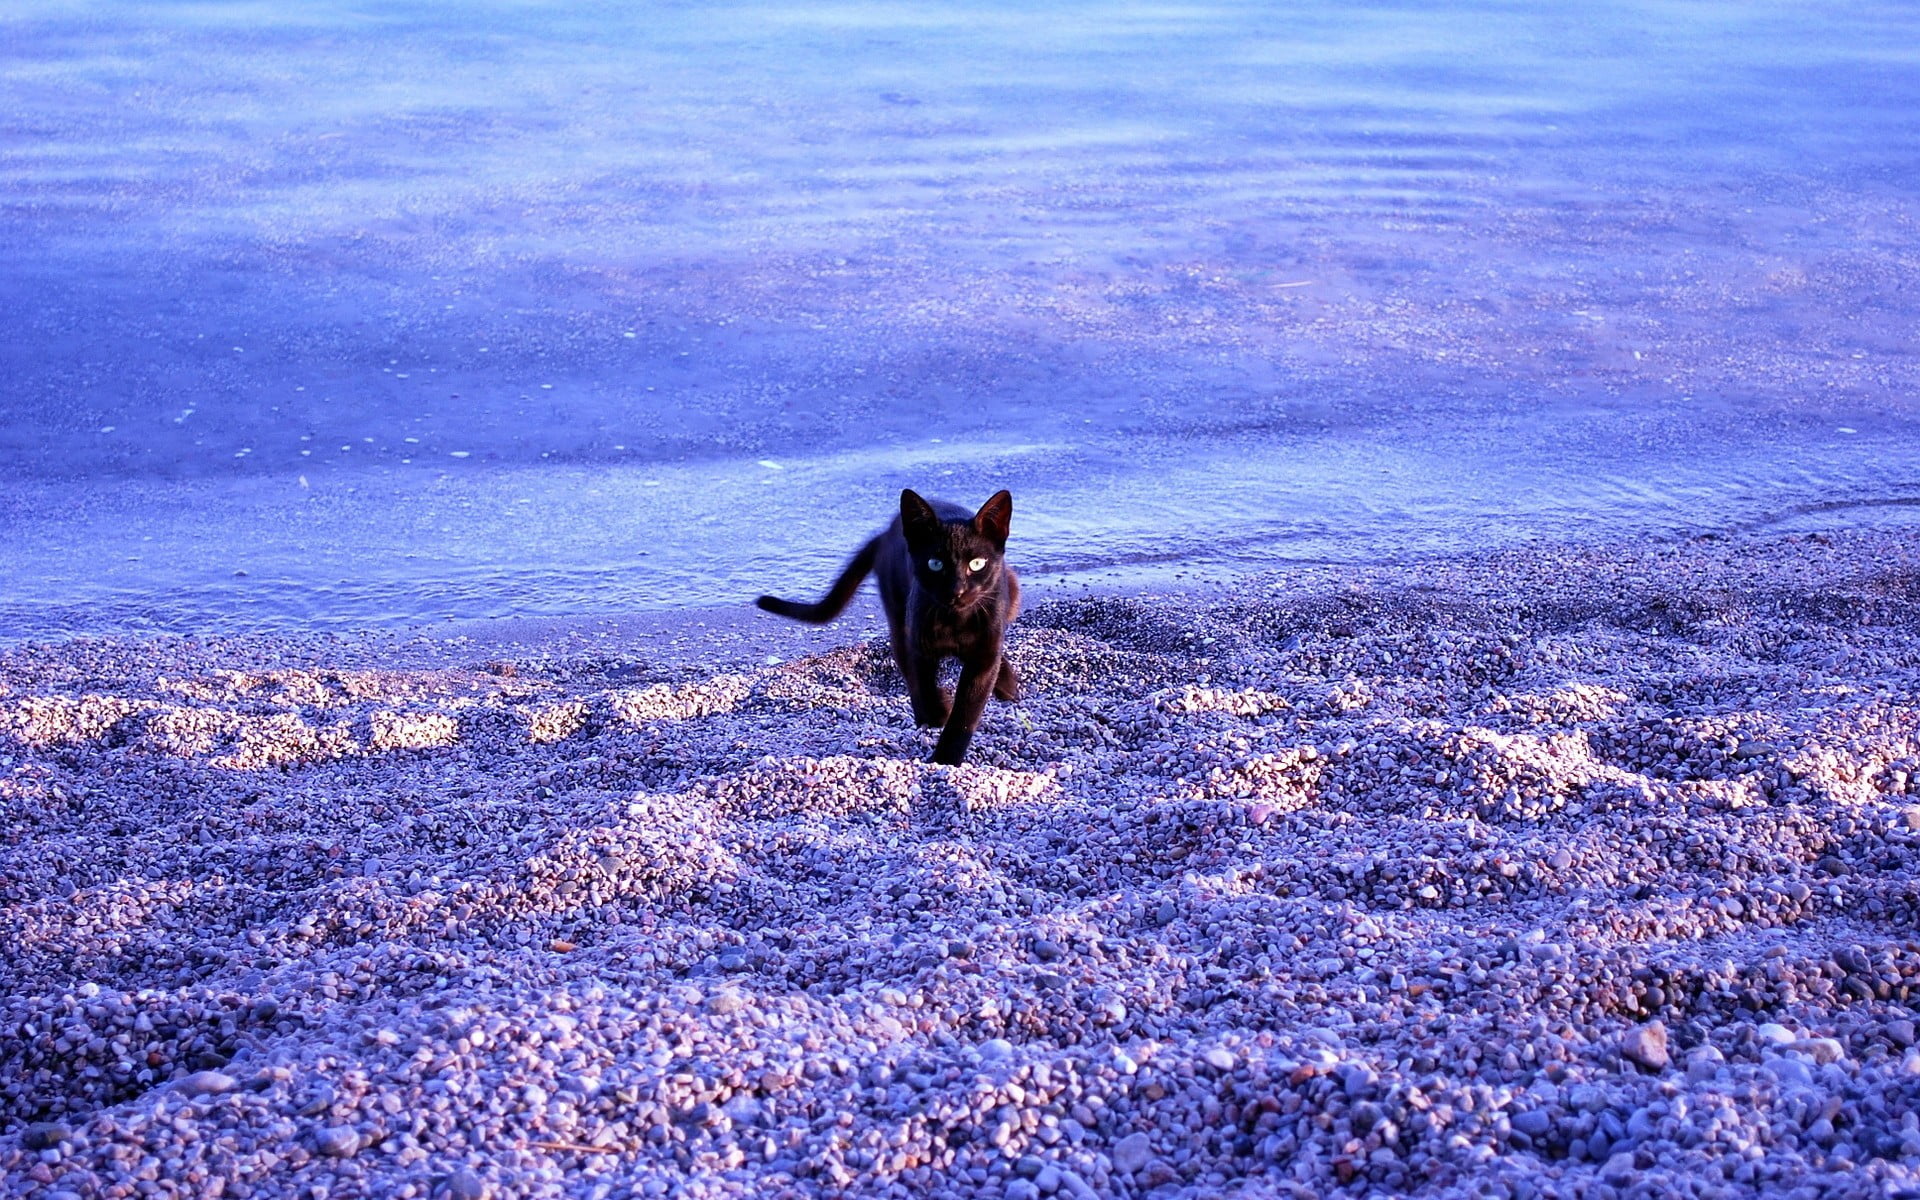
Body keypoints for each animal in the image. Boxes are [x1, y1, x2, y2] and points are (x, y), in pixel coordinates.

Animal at [752, 483, 1021, 756]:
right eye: (935, 564)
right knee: (908, 671)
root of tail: (886, 533)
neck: (956, 621)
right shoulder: (919, 646)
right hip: (899, 620)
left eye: (977, 564)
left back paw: (1006, 684)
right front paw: (936, 714)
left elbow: (965, 715)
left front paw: (946, 759)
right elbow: (924, 685)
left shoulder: (983, 657)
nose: (957, 591)